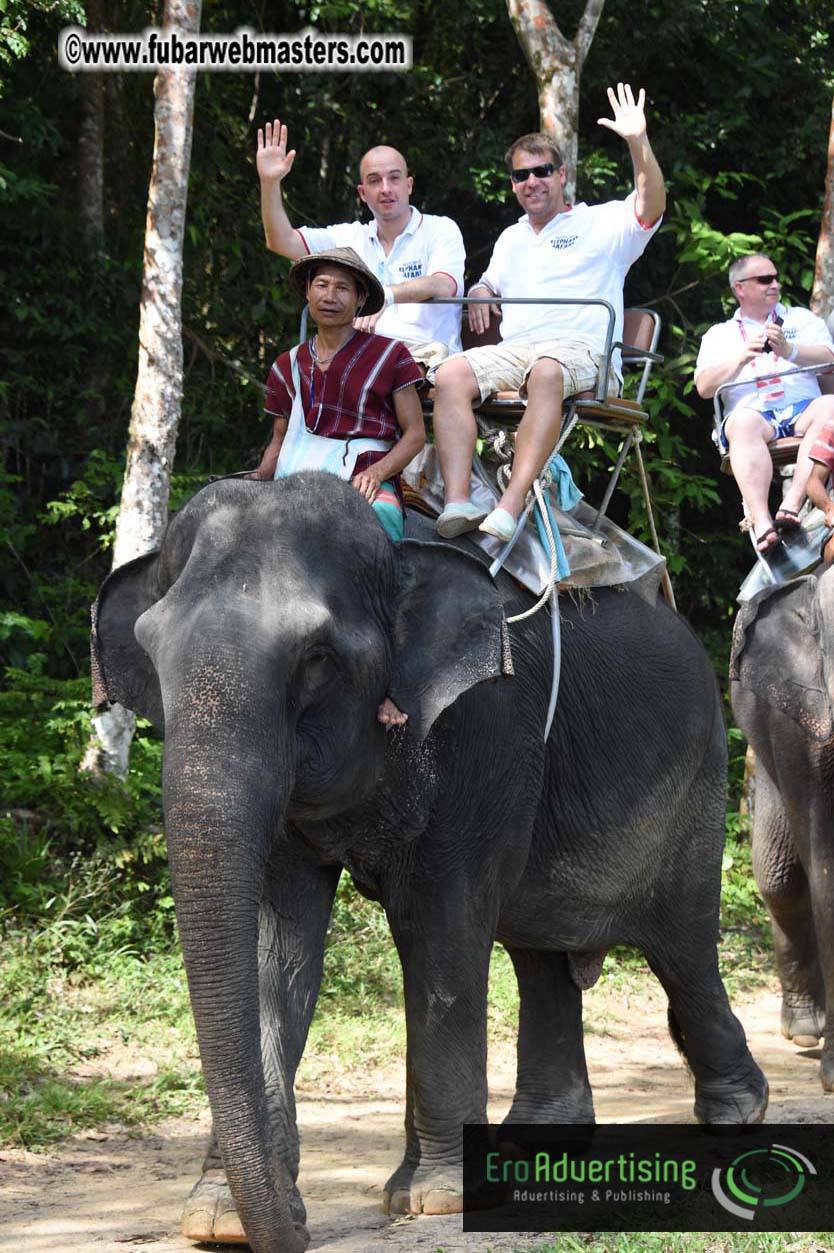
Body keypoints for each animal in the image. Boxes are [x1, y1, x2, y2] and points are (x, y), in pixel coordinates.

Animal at [92, 472, 767, 1253]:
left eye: (317, 658)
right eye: (151, 651)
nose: (295, 1232)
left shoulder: (485, 725)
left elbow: (439, 926)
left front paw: (436, 1199)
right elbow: (276, 946)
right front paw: (220, 1222)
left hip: (699, 777)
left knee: (681, 944)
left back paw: (735, 1115)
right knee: (540, 951)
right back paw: (534, 1145)